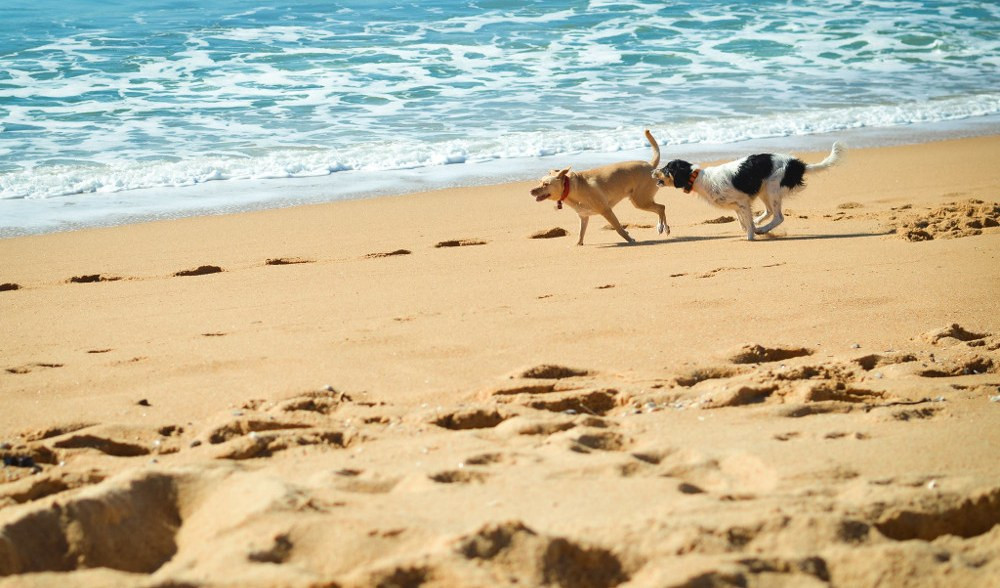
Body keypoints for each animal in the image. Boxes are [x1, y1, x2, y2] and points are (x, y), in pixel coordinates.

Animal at [528, 129, 668, 246]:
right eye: (540, 182)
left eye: (545, 184)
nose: (530, 191)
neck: (570, 188)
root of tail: (650, 166)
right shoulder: (584, 217)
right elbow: (581, 234)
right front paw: (578, 244)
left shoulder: (606, 210)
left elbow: (619, 229)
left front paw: (630, 239)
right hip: (641, 200)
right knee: (660, 208)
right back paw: (664, 227)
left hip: (640, 201)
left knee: (661, 207)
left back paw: (662, 227)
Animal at [656, 144, 844, 240]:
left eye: (666, 169)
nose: (653, 172)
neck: (698, 177)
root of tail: (796, 164)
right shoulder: (739, 205)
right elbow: (744, 222)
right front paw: (753, 226)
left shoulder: (742, 202)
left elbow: (747, 227)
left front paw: (751, 235)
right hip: (763, 190)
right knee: (769, 212)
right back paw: (760, 223)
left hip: (772, 188)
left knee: (778, 216)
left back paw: (764, 229)